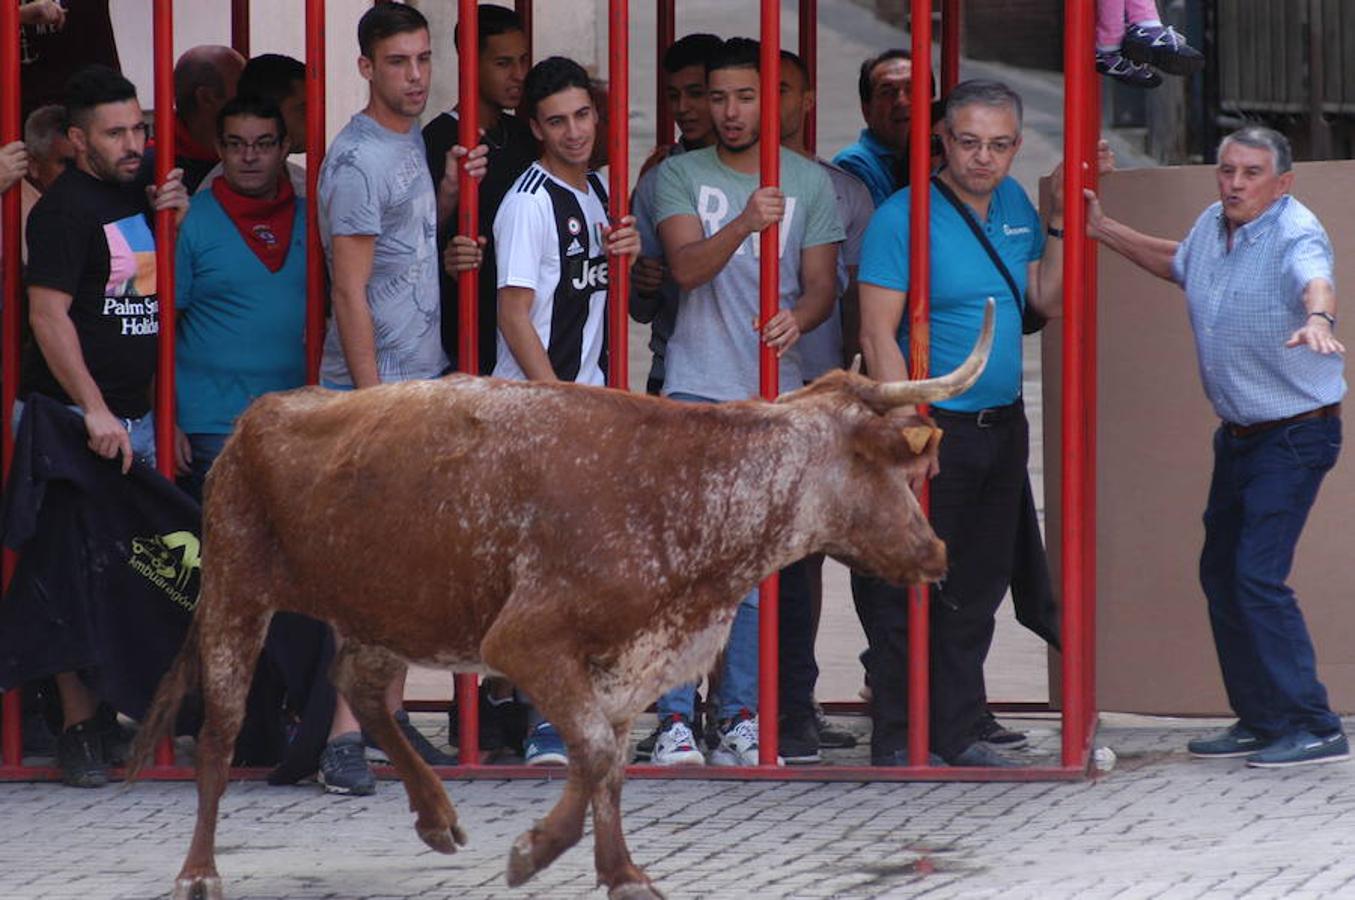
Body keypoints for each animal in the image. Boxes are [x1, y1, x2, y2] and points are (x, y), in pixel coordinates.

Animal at [129, 306, 997, 894]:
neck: (691, 494)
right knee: (219, 735)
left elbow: (601, 761)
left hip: (391, 607)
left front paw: (617, 870)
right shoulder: (526, 641)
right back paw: (198, 870)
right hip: (236, 591)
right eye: (886, 467)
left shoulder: (630, 659)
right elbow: (596, 754)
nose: (935, 551)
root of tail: (264, 412)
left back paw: (436, 816)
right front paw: (537, 854)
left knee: (363, 691)